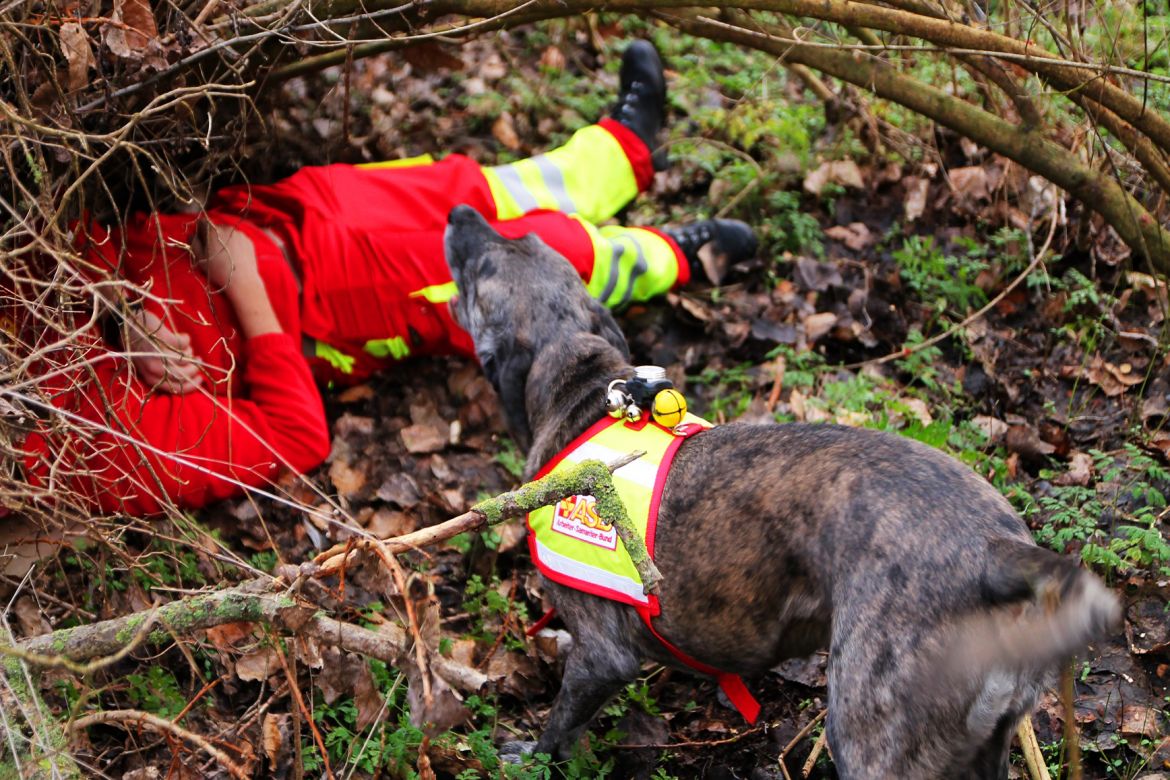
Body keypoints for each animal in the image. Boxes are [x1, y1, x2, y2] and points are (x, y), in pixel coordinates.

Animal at [442, 204, 1118, 776]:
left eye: (479, 273)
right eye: (533, 240)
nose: (460, 211)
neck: (578, 381)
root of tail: (997, 553)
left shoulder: (600, 660)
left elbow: (558, 730)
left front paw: (528, 755)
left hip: (871, 733)